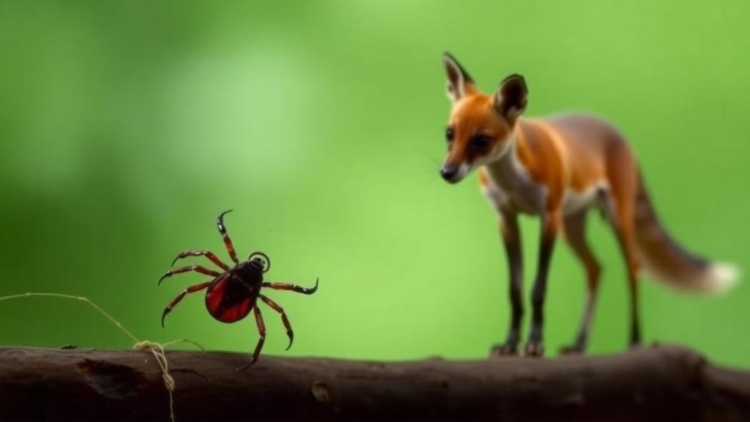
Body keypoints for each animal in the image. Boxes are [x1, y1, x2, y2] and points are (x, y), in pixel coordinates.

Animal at [439, 52, 739, 357]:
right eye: (449, 134)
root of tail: (614, 130)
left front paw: (535, 343)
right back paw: (579, 343)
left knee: (634, 268)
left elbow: (537, 289)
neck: (512, 181)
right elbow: (515, 290)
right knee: (596, 268)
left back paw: (634, 341)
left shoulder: (549, 216)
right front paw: (510, 344)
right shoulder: (506, 218)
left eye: (481, 140)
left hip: (615, 217)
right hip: (572, 226)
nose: (447, 172)